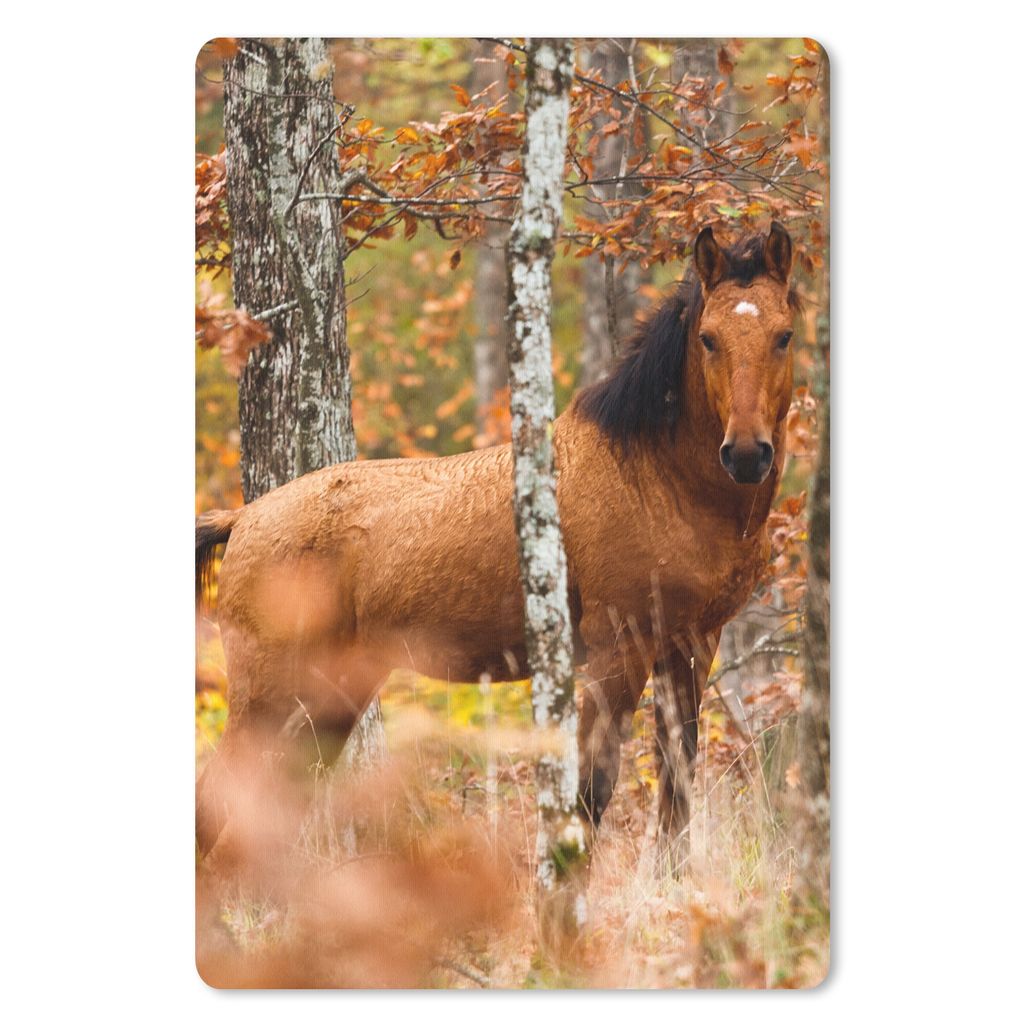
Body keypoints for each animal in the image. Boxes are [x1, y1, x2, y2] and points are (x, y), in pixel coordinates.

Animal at [196, 221, 798, 859]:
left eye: (783, 335)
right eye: (708, 339)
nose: (747, 454)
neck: (656, 478)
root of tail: (244, 518)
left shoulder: (691, 646)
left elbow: (676, 791)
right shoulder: (618, 649)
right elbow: (591, 791)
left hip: (330, 696)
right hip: (269, 695)